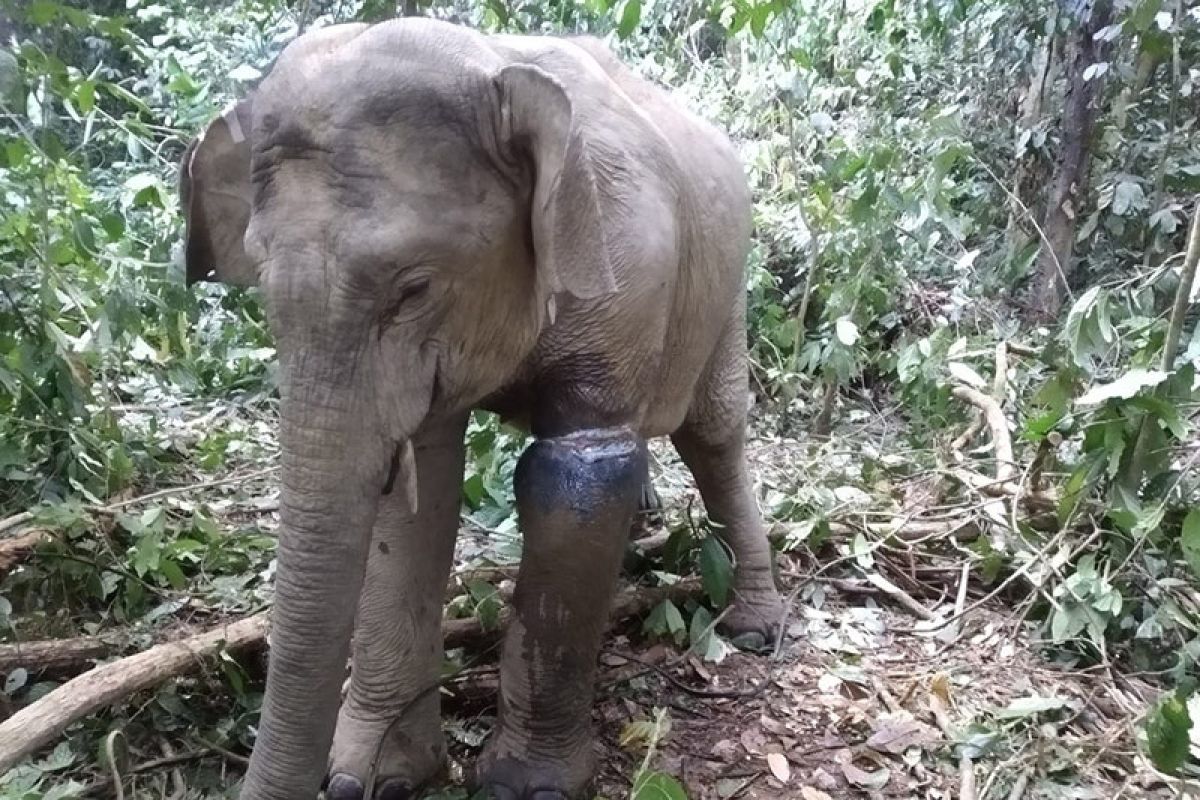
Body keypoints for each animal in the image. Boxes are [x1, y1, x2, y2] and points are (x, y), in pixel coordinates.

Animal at [175, 17, 777, 800]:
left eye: (413, 288)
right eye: (264, 290)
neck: (491, 64)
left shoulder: (627, 266)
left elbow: (575, 470)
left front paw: (524, 785)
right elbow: (418, 489)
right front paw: (374, 777)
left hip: (727, 281)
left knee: (715, 432)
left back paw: (757, 628)